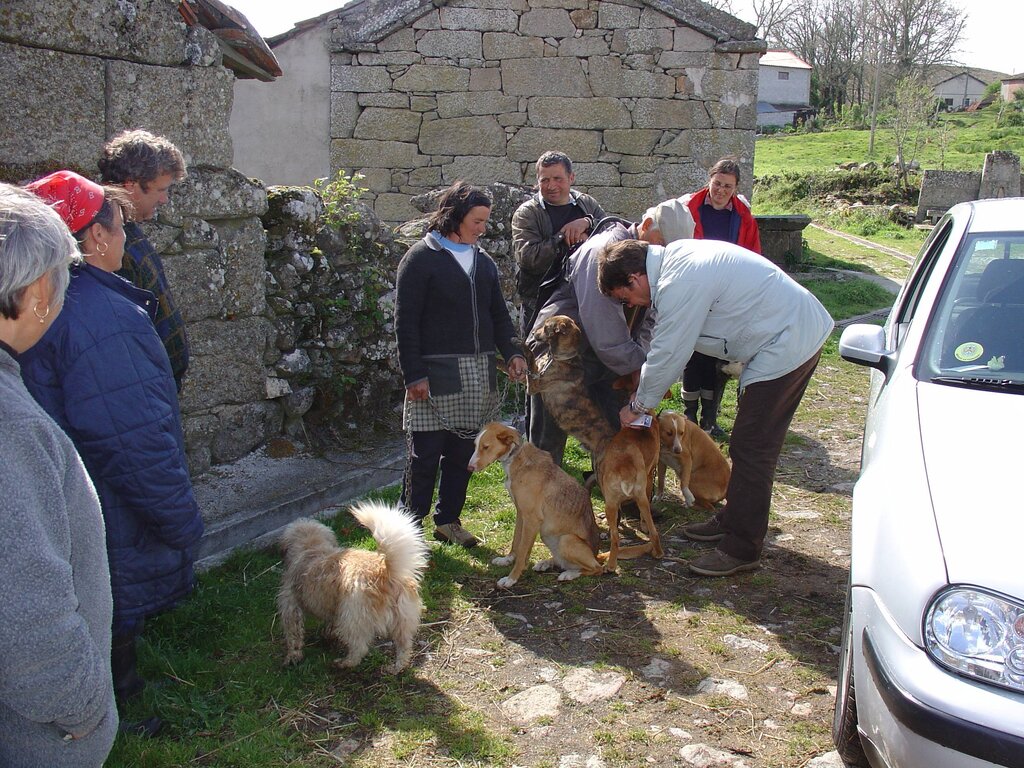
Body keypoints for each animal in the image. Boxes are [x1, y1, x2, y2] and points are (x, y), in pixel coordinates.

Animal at [276, 499, 428, 671]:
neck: (311, 547)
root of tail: (385, 571)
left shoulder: (290, 605)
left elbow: (293, 635)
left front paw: (292, 657)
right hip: (403, 621)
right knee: (404, 646)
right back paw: (396, 668)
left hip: (351, 618)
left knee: (359, 648)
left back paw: (343, 663)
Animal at [468, 423, 602, 585]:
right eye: (475, 445)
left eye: (486, 447)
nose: (469, 467)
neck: (516, 458)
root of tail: (596, 554)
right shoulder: (521, 513)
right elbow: (516, 542)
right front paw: (507, 560)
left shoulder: (532, 520)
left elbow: (522, 552)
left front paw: (511, 578)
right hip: (547, 535)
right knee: (562, 561)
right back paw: (546, 563)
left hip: (566, 540)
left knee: (596, 568)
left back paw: (569, 574)